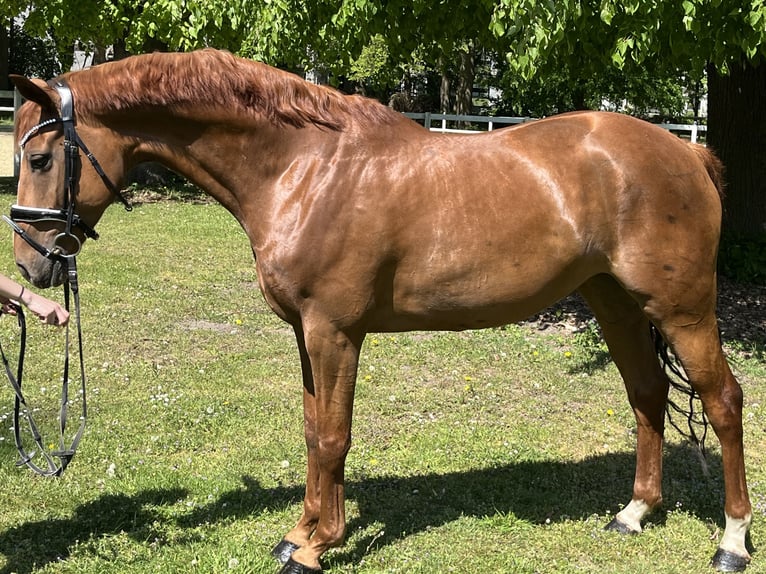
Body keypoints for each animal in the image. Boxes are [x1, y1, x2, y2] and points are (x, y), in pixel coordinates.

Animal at [9, 49, 751, 573]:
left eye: (41, 157)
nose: (29, 264)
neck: (304, 169)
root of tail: (686, 150)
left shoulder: (334, 333)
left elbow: (334, 438)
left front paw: (319, 547)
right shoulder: (305, 335)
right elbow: (313, 432)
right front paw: (298, 533)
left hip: (683, 310)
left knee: (723, 402)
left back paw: (733, 541)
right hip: (615, 301)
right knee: (647, 394)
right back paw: (634, 512)